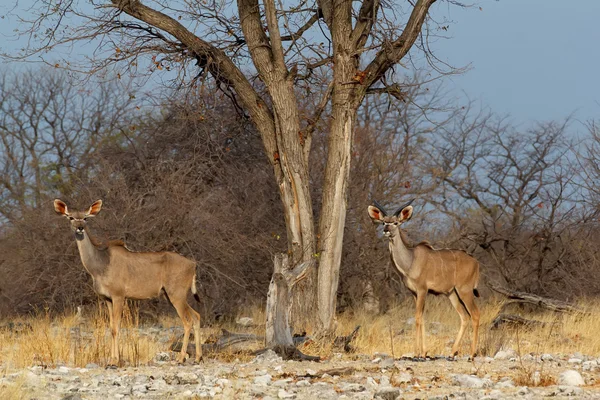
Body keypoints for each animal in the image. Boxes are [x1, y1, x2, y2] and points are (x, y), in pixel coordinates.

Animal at [53, 198, 202, 368]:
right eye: (70, 217)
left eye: (85, 218)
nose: (79, 228)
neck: (100, 265)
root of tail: (193, 265)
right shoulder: (107, 299)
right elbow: (111, 327)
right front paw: (112, 359)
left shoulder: (119, 296)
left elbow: (116, 327)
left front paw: (115, 361)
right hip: (172, 296)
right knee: (196, 316)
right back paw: (197, 357)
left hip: (176, 294)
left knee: (187, 321)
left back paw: (181, 358)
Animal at [368, 200, 480, 360]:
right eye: (383, 222)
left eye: (396, 222)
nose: (386, 230)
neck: (410, 261)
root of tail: (476, 263)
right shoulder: (415, 293)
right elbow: (422, 318)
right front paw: (424, 352)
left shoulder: (422, 290)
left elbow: (417, 318)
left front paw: (416, 353)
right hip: (452, 293)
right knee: (464, 317)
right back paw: (452, 352)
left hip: (465, 291)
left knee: (475, 315)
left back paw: (471, 354)